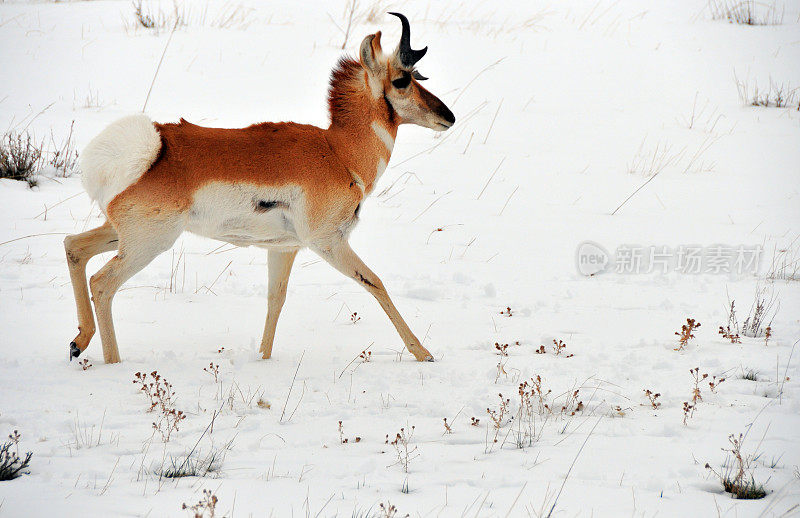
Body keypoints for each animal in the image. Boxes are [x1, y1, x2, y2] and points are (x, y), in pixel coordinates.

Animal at [65, 14, 454, 368]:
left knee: (74, 246)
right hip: (149, 242)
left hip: (123, 234)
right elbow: (375, 283)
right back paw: (112, 362)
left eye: (418, 76)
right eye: (401, 80)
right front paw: (424, 353)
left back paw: (78, 343)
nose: (448, 116)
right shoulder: (328, 242)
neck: (338, 151)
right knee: (102, 282)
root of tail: (149, 151)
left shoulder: (284, 249)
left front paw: (263, 360)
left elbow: (275, 300)